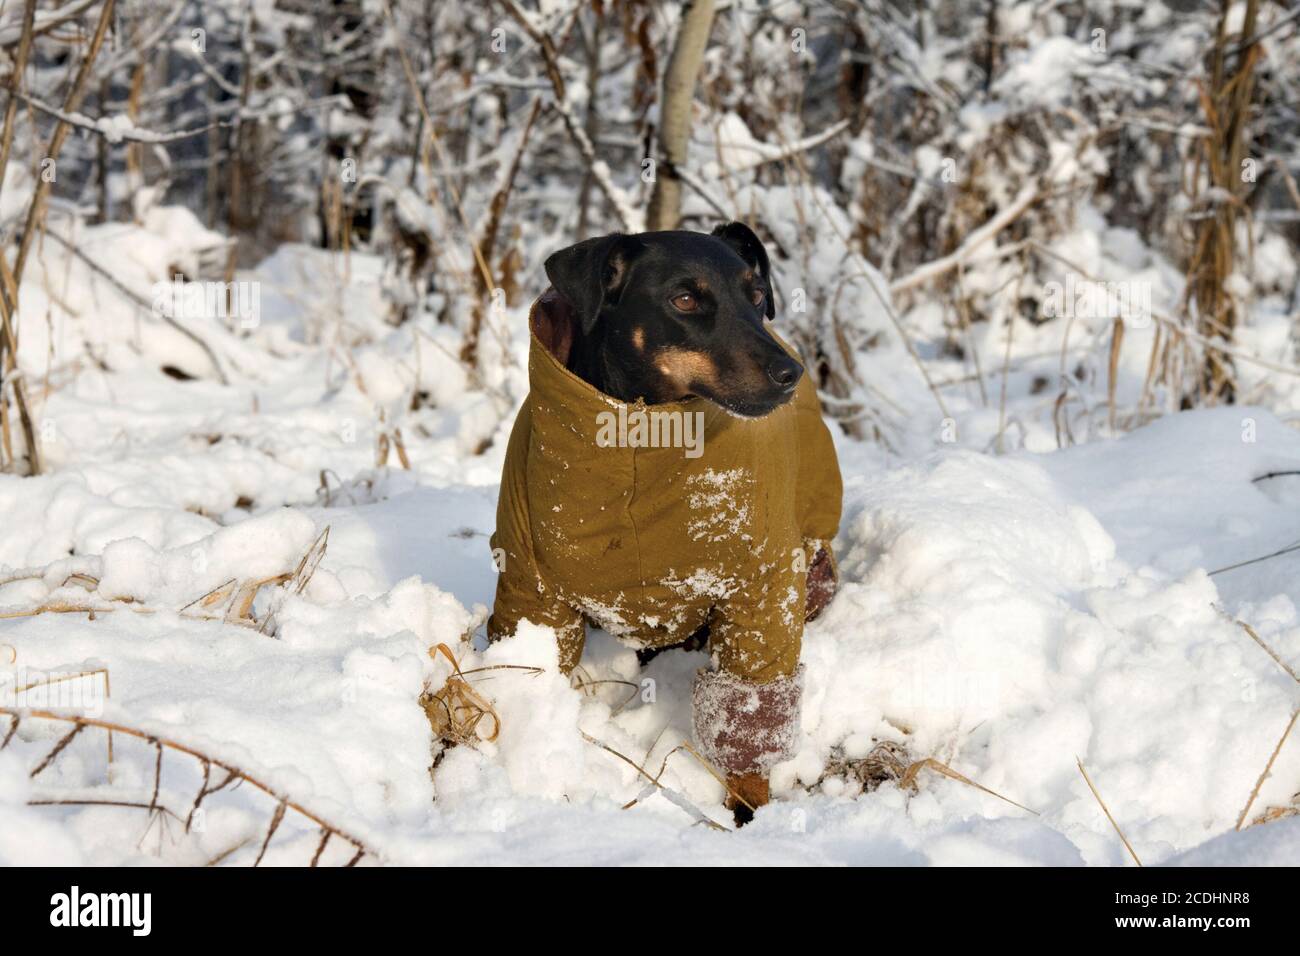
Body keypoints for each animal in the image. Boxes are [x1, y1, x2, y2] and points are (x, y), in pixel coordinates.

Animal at [488, 222, 842, 822]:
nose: (791, 373)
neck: (644, 439)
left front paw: (749, 811)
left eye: (756, 295)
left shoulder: (761, 591)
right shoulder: (531, 587)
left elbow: (750, 715)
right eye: (684, 300)